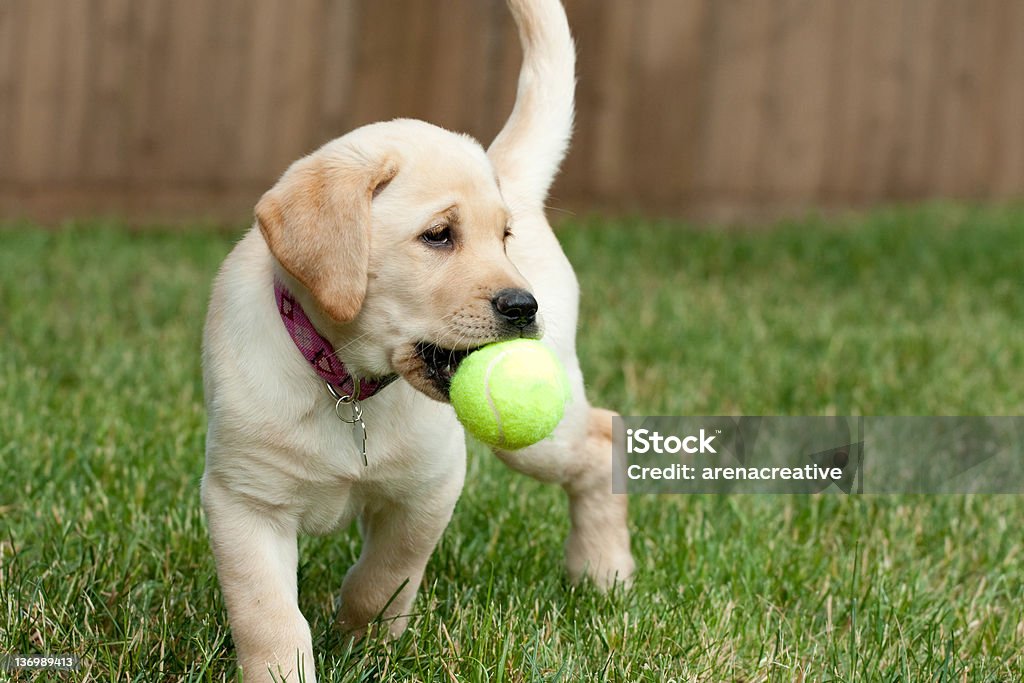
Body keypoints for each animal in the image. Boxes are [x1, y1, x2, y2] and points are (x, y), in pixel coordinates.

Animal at [199, 0, 630, 679]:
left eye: (502, 237)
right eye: (438, 235)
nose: (523, 306)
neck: (347, 383)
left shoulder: (428, 488)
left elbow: (385, 577)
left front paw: (363, 640)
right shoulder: (244, 501)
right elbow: (267, 615)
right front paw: (285, 667)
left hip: (539, 438)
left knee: (603, 434)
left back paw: (602, 571)